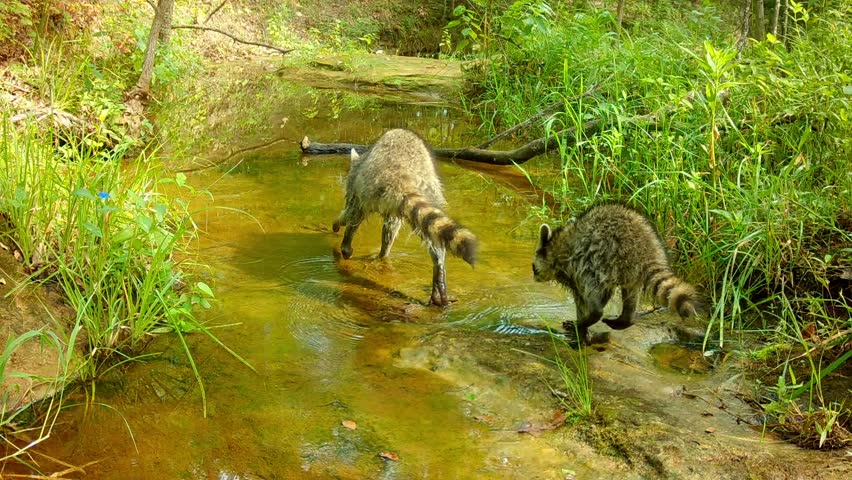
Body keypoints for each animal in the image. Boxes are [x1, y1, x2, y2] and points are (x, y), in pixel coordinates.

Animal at [332, 129, 478, 306]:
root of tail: (402, 176)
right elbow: (390, 228)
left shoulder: (355, 186)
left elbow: (349, 213)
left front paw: (338, 224)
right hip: (430, 190)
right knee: (429, 236)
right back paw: (437, 270)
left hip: (370, 186)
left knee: (355, 214)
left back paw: (347, 245)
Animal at [532, 203, 700, 344]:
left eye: (533, 267)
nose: (534, 277)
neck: (556, 247)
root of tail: (646, 248)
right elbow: (603, 295)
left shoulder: (576, 268)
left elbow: (583, 299)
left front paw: (582, 324)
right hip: (631, 270)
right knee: (631, 293)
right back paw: (626, 319)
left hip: (603, 256)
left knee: (593, 297)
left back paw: (591, 317)